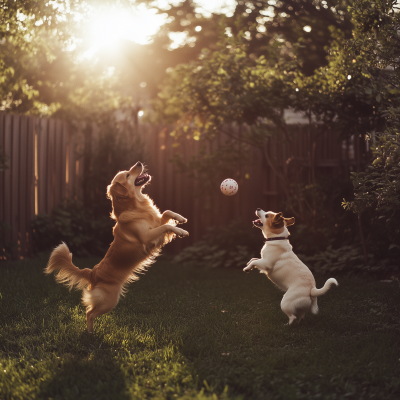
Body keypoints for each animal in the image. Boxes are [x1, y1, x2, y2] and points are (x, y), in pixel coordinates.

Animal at [44, 161, 188, 332]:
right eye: (127, 174)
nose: (139, 163)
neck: (135, 206)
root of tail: (93, 273)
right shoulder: (147, 238)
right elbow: (167, 226)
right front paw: (180, 231)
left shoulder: (156, 223)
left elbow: (166, 212)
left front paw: (180, 218)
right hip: (109, 301)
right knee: (89, 313)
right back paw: (90, 333)